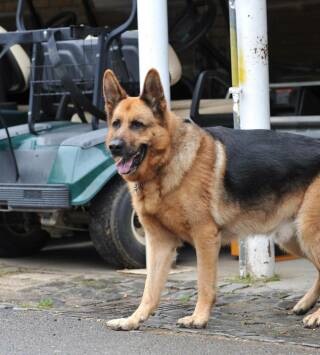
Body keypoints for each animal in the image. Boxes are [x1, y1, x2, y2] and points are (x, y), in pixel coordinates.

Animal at [104, 69, 320, 330]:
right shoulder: (160, 243)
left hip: (308, 233)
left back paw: (316, 315)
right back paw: (306, 304)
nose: (114, 147)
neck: (168, 161)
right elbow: (150, 289)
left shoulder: (205, 237)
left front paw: (198, 317)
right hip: (292, 237)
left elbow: (204, 283)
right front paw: (133, 320)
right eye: (116, 124)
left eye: (137, 124)